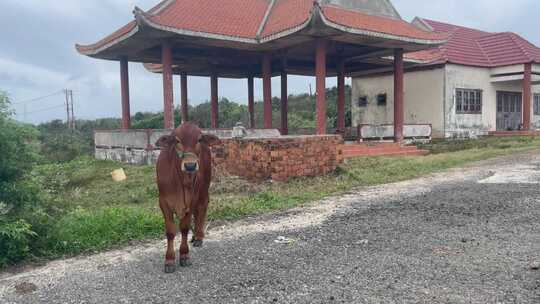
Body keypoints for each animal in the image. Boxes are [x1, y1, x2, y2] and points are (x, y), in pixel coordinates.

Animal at [154, 122, 219, 274]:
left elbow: (184, 228)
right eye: (177, 140)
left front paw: (184, 255)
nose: (190, 165)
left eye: (199, 139)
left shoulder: (192, 199)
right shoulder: (163, 202)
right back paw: (194, 236)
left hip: (204, 186)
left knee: (202, 207)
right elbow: (170, 232)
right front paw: (169, 260)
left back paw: (199, 236)